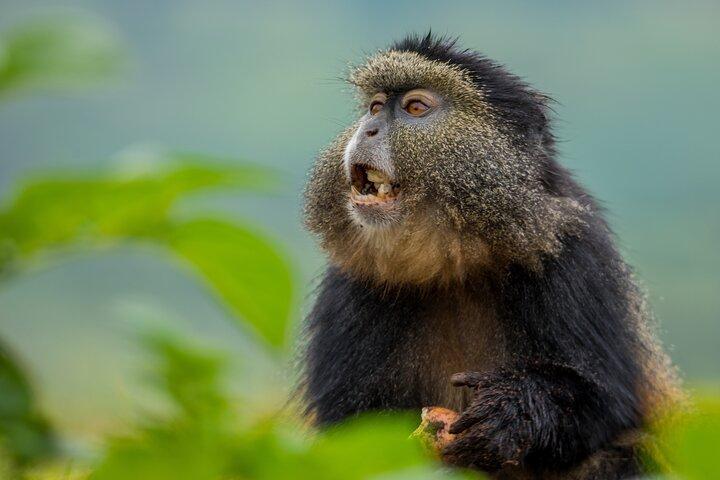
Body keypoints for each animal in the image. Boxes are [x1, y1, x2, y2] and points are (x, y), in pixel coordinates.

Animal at [301, 33, 683, 479]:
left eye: (415, 108)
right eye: (376, 107)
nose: (370, 127)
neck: (455, 258)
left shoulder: (576, 251)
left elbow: (603, 403)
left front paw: (512, 413)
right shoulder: (349, 281)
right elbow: (348, 432)